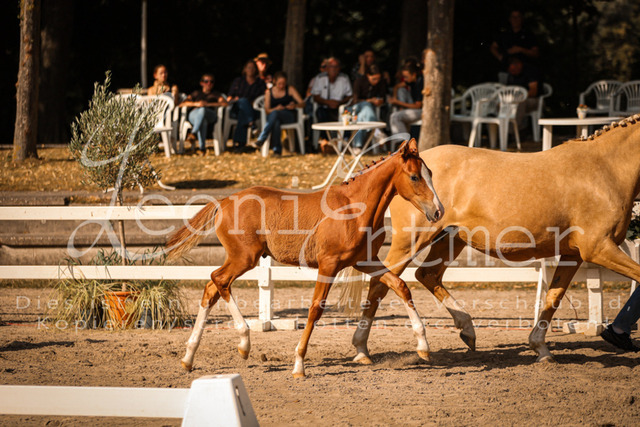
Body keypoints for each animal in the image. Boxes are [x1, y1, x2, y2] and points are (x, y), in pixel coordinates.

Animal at [166, 139, 444, 377]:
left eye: (431, 173)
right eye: (415, 176)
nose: (438, 211)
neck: (354, 207)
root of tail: (223, 201)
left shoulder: (365, 260)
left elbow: (401, 286)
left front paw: (423, 347)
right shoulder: (329, 265)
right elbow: (315, 309)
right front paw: (299, 364)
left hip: (241, 259)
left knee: (211, 288)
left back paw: (189, 358)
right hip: (244, 258)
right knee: (219, 280)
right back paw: (244, 343)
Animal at [348, 114, 640, 365]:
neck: (604, 170)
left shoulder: (573, 254)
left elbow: (553, 297)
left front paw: (541, 348)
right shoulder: (599, 248)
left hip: (450, 239)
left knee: (426, 275)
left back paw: (467, 330)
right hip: (410, 241)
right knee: (381, 284)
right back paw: (363, 349)